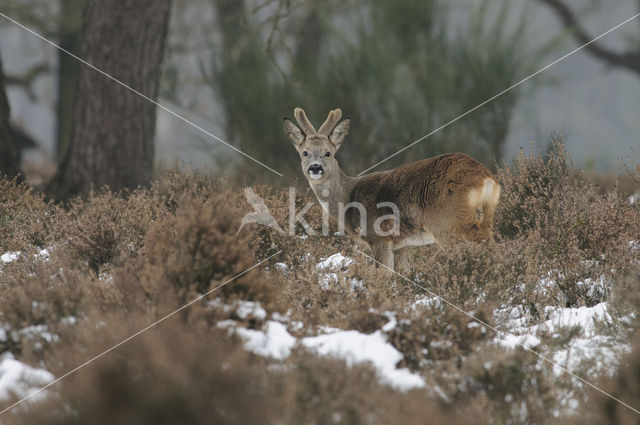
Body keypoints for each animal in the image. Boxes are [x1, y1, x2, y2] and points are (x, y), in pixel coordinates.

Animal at [284, 107, 500, 270]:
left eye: (328, 153)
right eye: (304, 153)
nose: (315, 168)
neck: (349, 199)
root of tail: (486, 179)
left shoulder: (379, 238)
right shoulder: (401, 245)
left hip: (447, 224)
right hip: (484, 218)